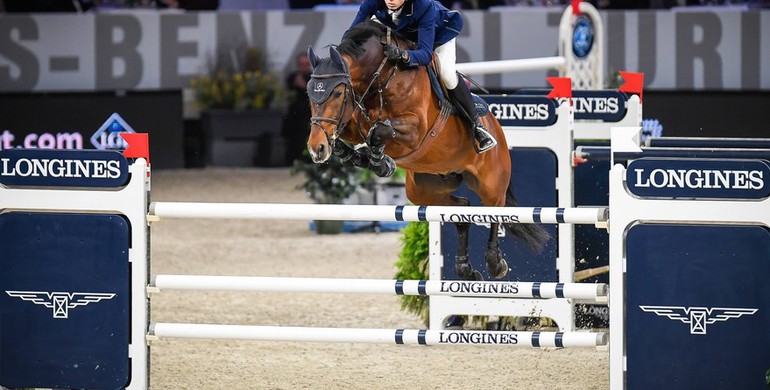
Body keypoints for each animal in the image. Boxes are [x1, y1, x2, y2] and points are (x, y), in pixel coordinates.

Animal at [304, 19, 544, 280]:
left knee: (495, 210)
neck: (382, 78)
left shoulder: (415, 130)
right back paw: (466, 270)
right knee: (462, 210)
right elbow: (347, 140)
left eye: (338, 93)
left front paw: (380, 162)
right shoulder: (353, 124)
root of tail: (496, 127)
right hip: (425, 190)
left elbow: (380, 130)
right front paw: (362, 157)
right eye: (309, 93)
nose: (315, 149)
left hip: (490, 181)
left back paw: (495, 263)